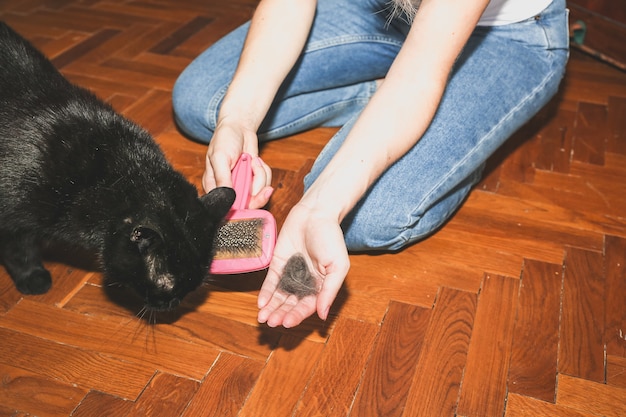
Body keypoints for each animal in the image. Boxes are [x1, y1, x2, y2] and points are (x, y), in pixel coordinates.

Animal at [0, 22, 234, 308]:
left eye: (194, 285)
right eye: (165, 285)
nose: (174, 304)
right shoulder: (12, 220)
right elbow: (19, 252)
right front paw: (33, 278)